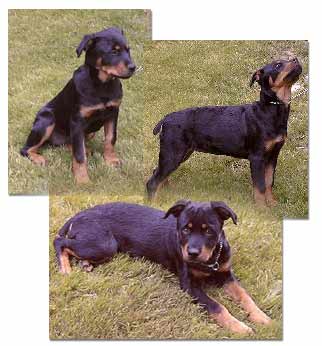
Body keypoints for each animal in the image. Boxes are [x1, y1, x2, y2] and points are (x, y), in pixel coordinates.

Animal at [20, 26, 136, 182]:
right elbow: (79, 155)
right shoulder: (77, 121)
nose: (133, 67)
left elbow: (110, 138)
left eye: (128, 50)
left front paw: (111, 160)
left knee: (70, 143)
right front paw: (82, 180)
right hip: (47, 119)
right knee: (26, 149)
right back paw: (39, 158)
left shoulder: (113, 113)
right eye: (113, 51)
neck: (102, 85)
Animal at [54, 201, 270, 334]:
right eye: (185, 229)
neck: (210, 261)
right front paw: (239, 327)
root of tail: (79, 215)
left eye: (209, 231)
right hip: (104, 244)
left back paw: (85, 264)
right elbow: (217, 306)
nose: (192, 253)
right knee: (59, 242)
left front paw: (263, 318)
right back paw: (66, 270)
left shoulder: (226, 274)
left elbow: (245, 295)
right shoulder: (189, 285)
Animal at [147, 56, 304, 205]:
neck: (271, 108)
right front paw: (261, 209)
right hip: (173, 153)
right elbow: (259, 187)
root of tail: (165, 119)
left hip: (181, 152)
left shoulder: (273, 156)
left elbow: (269, 182)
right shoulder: (257, 157)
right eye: (277, 65)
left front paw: (271, 203)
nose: (296, 59)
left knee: (158, 174)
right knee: (152, 182)